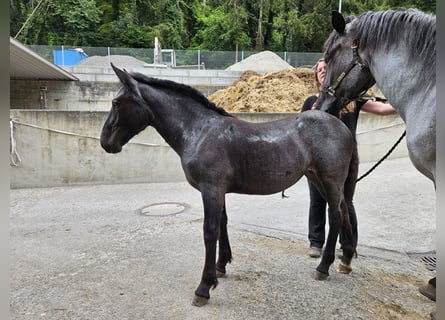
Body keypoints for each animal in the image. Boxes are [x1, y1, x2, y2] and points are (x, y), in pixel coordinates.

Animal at [99, 63, 358, 306]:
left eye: (116, 102)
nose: (105, 142)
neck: (201, 131)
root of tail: (341, 126)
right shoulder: (218, 191)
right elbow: (222, 224)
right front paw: (221, 266)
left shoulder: (211, 189)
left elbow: (210, 231)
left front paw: (204, 287)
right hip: (317, 178)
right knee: (343, 211)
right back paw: (345, 259)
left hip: (330, 180)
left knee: (336, 215)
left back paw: (323, 267)